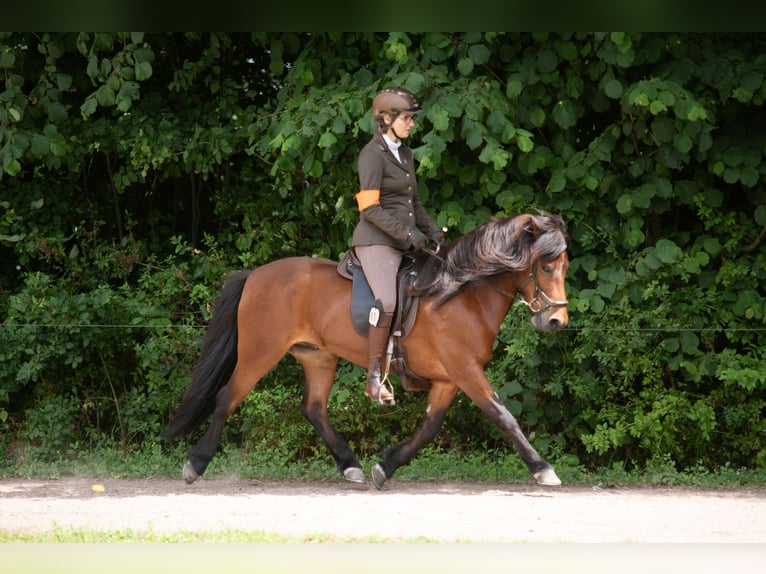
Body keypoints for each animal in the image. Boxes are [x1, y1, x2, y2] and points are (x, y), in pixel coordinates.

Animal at [162, 212, 570, 489]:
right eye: (547, 267)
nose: (556, 321)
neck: (459, 294)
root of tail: (254, 276)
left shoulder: (449, 378)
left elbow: (430, 427)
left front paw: (385, 466)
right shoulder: (465, 370)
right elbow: (503, 415)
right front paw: (543, 468)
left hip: (318, 357)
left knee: (313, 408)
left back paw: (350, 465)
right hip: (259, 353)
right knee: (227, 397)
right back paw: (196, 464)